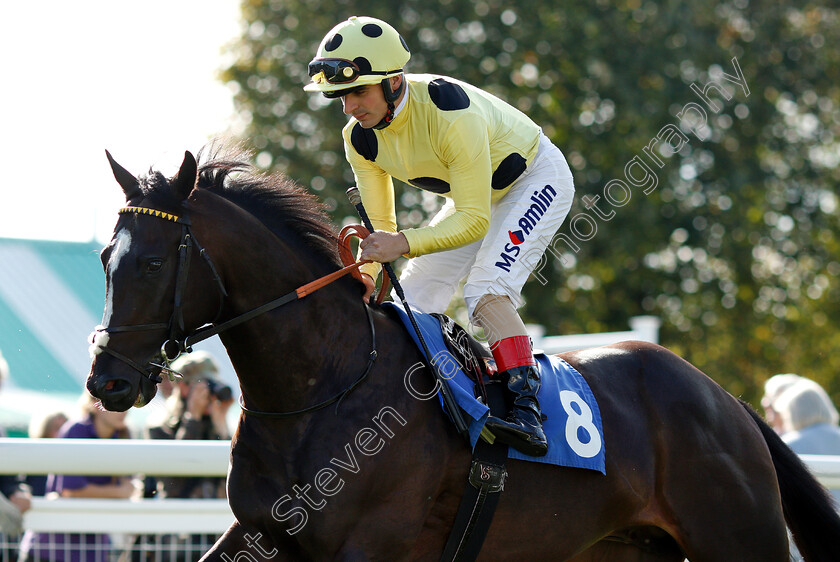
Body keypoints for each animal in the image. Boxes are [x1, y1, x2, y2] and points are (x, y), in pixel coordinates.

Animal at [87, 145, 840, 560]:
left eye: (152, 263)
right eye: (104, 260)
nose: (107, 383)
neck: (322, 385)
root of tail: (725, 400)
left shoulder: (369, 545)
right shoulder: (261, 533)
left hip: (738, 536)